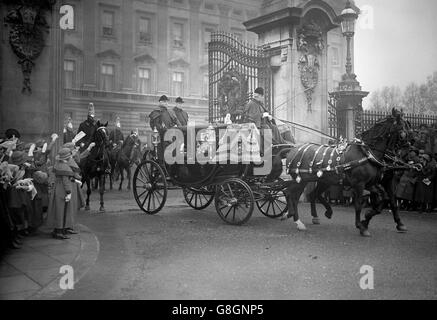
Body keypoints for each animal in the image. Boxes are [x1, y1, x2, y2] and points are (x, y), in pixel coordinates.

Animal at [282, 109, 410, 236]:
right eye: (402, 130)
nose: (409, 147)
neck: (366, 153)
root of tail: (293, 149)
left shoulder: (372, 183)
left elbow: (385, 199)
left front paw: (367, 218)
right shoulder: (359, 184)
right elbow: (358, 205)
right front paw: (361, 226)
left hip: (320, 180)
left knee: (308, 194)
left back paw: (316, 215)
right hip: (301, 180)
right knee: (291, 194)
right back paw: (297, 219)